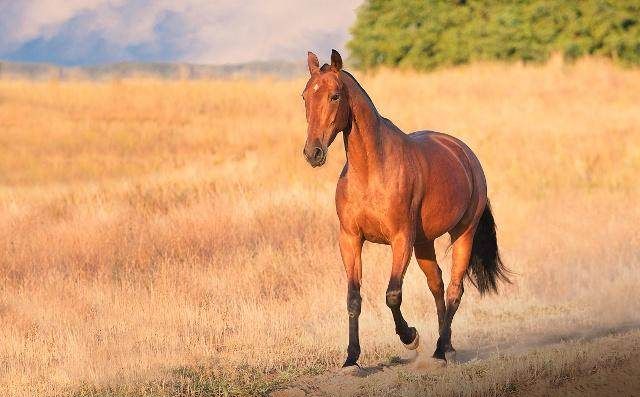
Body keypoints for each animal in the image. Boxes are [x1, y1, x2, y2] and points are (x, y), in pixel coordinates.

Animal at [302, 50, 512, 368]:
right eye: (305, 96)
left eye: (335, 96)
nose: (312, 153)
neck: (372, 170)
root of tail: (465, 153)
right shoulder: (350, 239)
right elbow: (353, 298)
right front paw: (351, 359)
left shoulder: (401, 239)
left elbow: (392, 294)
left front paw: (410, 337)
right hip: (424, 243)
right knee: (437, 285)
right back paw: (447, 346)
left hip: (463, 233)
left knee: (455, 289)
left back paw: (439, 352)